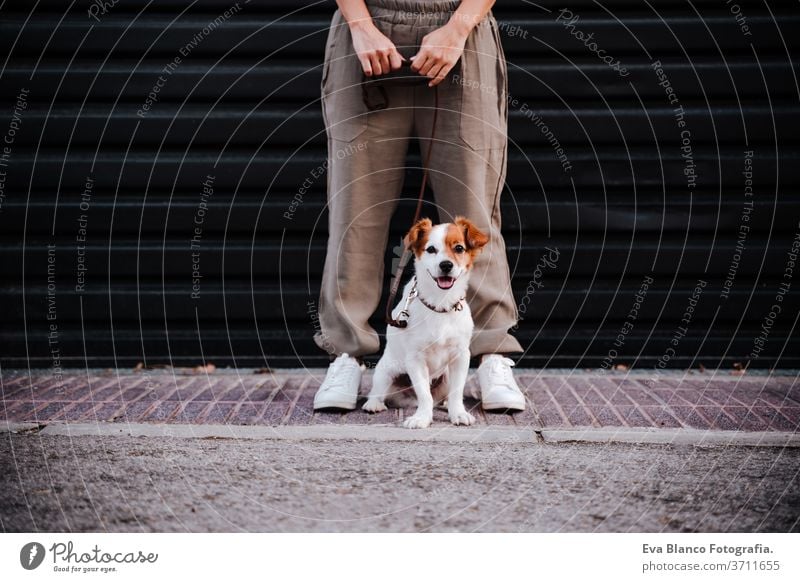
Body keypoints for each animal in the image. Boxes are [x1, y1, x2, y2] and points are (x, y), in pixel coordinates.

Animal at [362, 217, 488, 432]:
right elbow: (424, 394)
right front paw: (422, 418)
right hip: (385, 370)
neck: (440, 303)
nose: (446, 265)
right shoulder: (415, 359)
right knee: (378, 389)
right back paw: (374, 404)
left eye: (459, 248)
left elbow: (457, 392)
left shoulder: (461, 356)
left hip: (445, 376)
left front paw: (458, 413)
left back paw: (446, 404)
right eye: (431, 249)